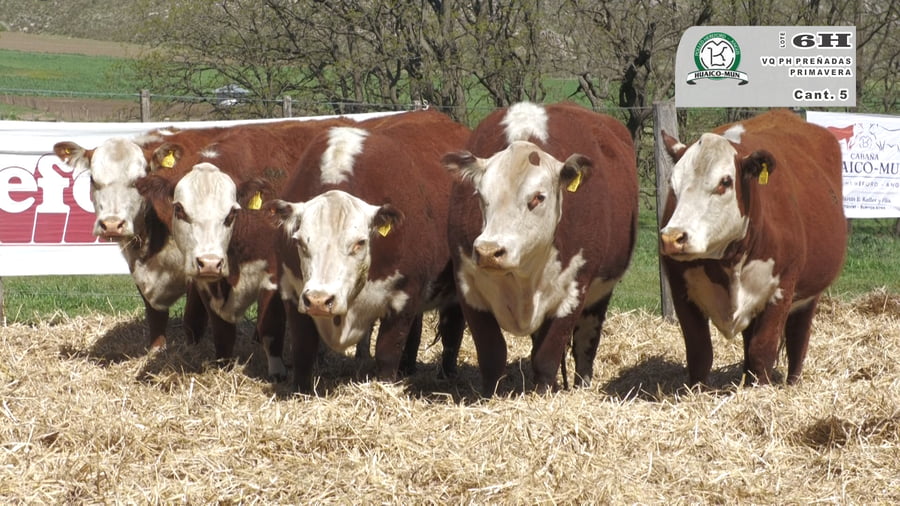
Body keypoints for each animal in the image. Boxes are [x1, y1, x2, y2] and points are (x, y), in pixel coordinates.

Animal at [137, 163, 287, 380]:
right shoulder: (206, 287)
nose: (209, 263)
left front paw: (277, 373)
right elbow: (223, 334)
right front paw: (224, 369)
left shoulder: (273, 280)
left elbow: (271, 328)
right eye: (179, 209)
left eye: (232, 213)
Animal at [267, 109, 471, 393]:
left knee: (452, 328)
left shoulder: (403, 296)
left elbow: (387, 352)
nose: (319, 300)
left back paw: (447, 373)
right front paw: (301, 391)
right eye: (300, 242)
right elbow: (303, 350)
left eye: (359, 242)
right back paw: (408, 368)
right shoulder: (293, 292)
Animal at [441, 101, 638, 396]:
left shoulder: (573, 291)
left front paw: (543, 393)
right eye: (481, 196)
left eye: (538, 197)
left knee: (585, 343)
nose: (489, 251)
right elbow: (492, 354)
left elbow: (546, 356)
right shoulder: (468, 287)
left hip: (599, 296)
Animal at [659, 109, 847, 386]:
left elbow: (763, 350)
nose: (673, 237)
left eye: (725, 182)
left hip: (809, 295)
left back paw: (792, 382)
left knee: (798, 339)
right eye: (673, 184)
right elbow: (700, 353)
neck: (728, 261)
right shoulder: (681, 291)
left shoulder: (781, 289)